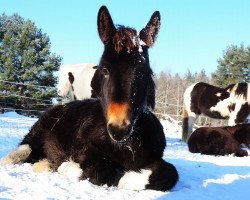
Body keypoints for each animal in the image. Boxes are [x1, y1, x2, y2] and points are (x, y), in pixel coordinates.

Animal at [1, 5, 178, 191]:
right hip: (35, 136)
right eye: (104, 69)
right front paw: (67, 167)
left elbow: (169, 173)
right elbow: (104, 172)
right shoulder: (86, 149)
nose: (119, 128)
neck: (127, 146)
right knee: (24, 150)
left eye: (144, 71)